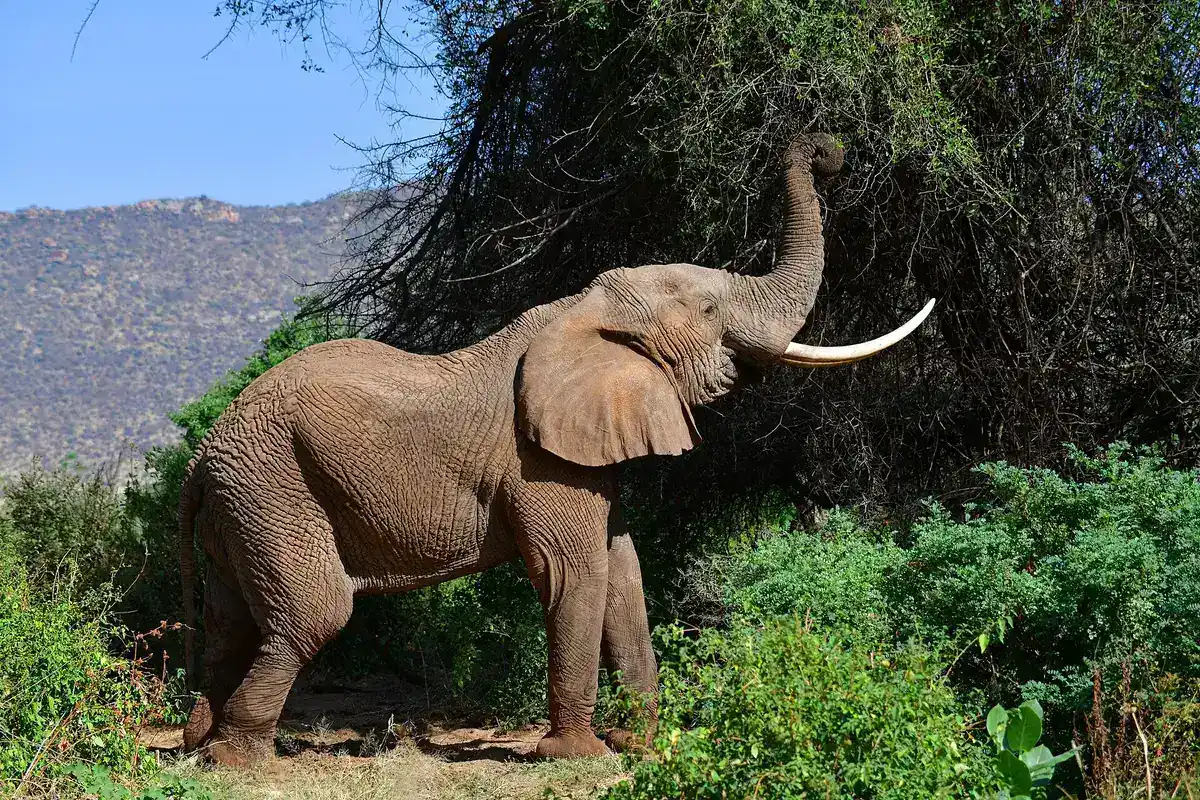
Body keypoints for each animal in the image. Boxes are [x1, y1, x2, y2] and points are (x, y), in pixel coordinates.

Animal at [177, 134, 935, 766]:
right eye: (710, 312)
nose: (827, 150)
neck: (583, 312)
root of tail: (200, 456)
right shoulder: (540, 461)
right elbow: (575, 574)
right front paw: (578, 756)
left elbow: (624, 572)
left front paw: (640, 746)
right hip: (274, 486)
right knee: (314, 613)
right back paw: (239, 760)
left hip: (244, 502)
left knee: (229, 617)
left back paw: (199, 741)